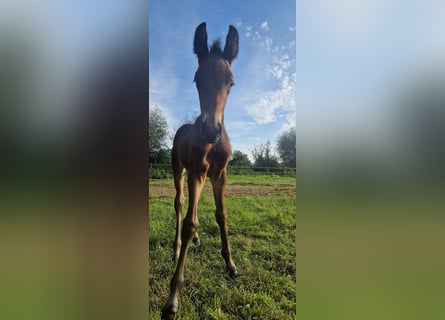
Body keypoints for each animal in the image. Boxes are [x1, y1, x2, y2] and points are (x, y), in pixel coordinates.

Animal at [161, 21, 239, 318]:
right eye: (197, 79)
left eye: (230, 82)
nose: (210, 130)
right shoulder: (196, 171)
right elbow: (189, 221)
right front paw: (173, 298)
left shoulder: (219, 174)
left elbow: (221, 215)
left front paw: (231, 265)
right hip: (179, 169)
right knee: (180, 203)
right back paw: (177, 248)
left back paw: (194, 241)